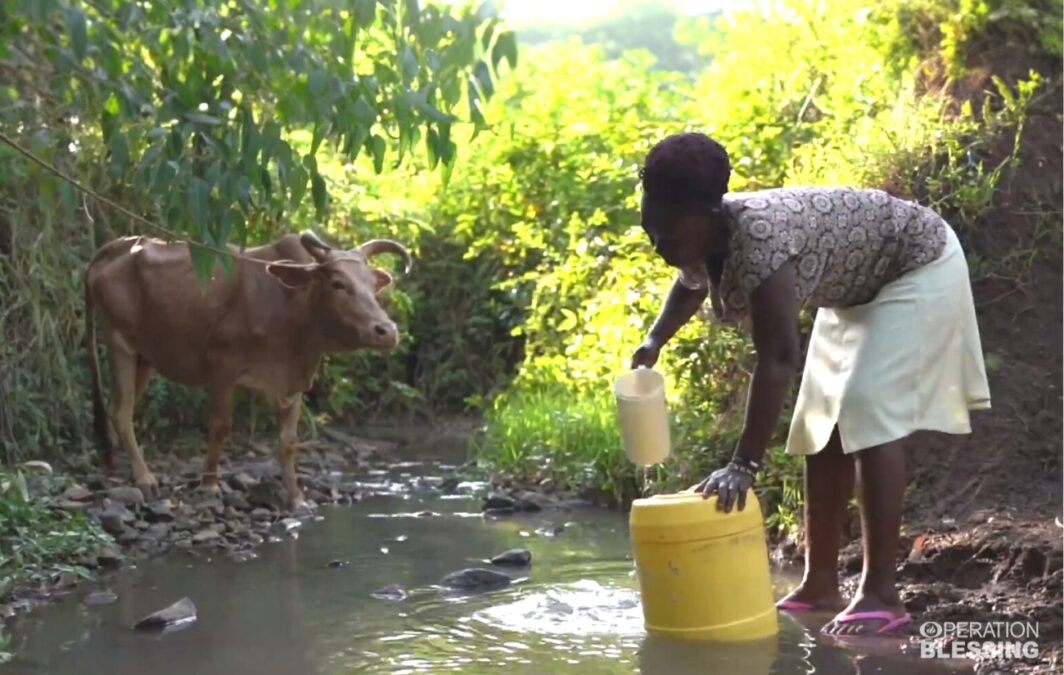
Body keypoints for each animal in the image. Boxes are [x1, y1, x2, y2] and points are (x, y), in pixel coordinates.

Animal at [81, 228, 406, 506]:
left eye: (372, 286)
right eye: (338, 283)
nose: (386, 330)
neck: (289, 306)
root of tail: (117, 245)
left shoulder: (293, 383)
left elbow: (288, 442)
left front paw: (295, 496)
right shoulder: (222, 366)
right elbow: (220, 427)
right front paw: (209, 484)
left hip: (146, 357)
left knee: (118, 408)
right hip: (119, 343)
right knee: (121, 411)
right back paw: (144, 477)